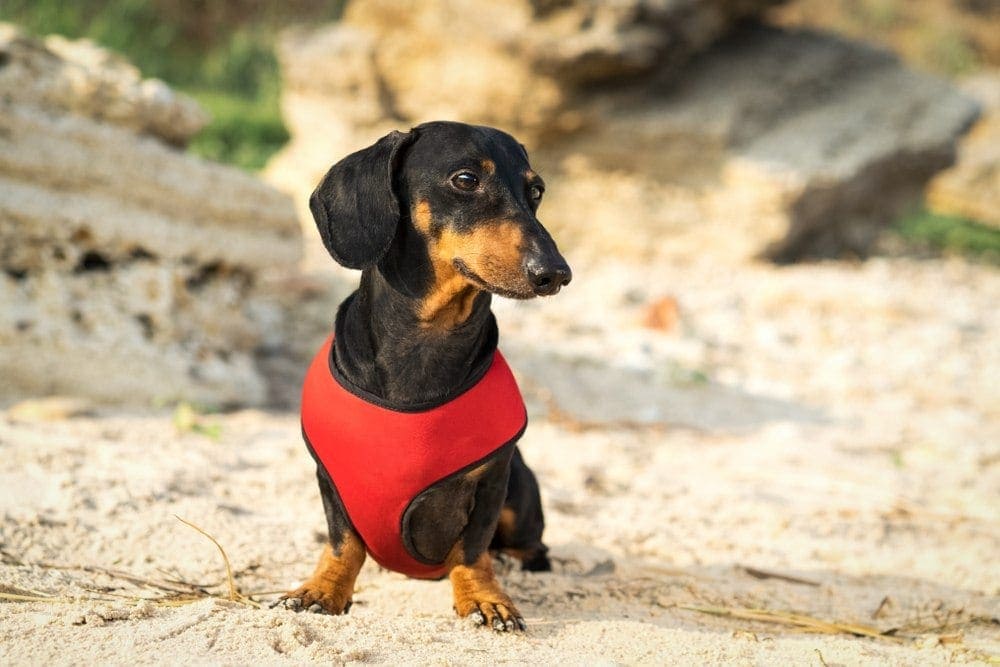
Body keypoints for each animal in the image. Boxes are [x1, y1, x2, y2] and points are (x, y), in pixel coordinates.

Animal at [278, 122, 572, 636]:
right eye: (466, 180)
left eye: (535, 191)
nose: (556, 273)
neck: (428, 339)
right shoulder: (329, 479)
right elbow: (342, 542)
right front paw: (322, 589)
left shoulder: (494, 478)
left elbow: (474, 549)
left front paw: (485, 598)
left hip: (521, 489)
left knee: (532, 546)